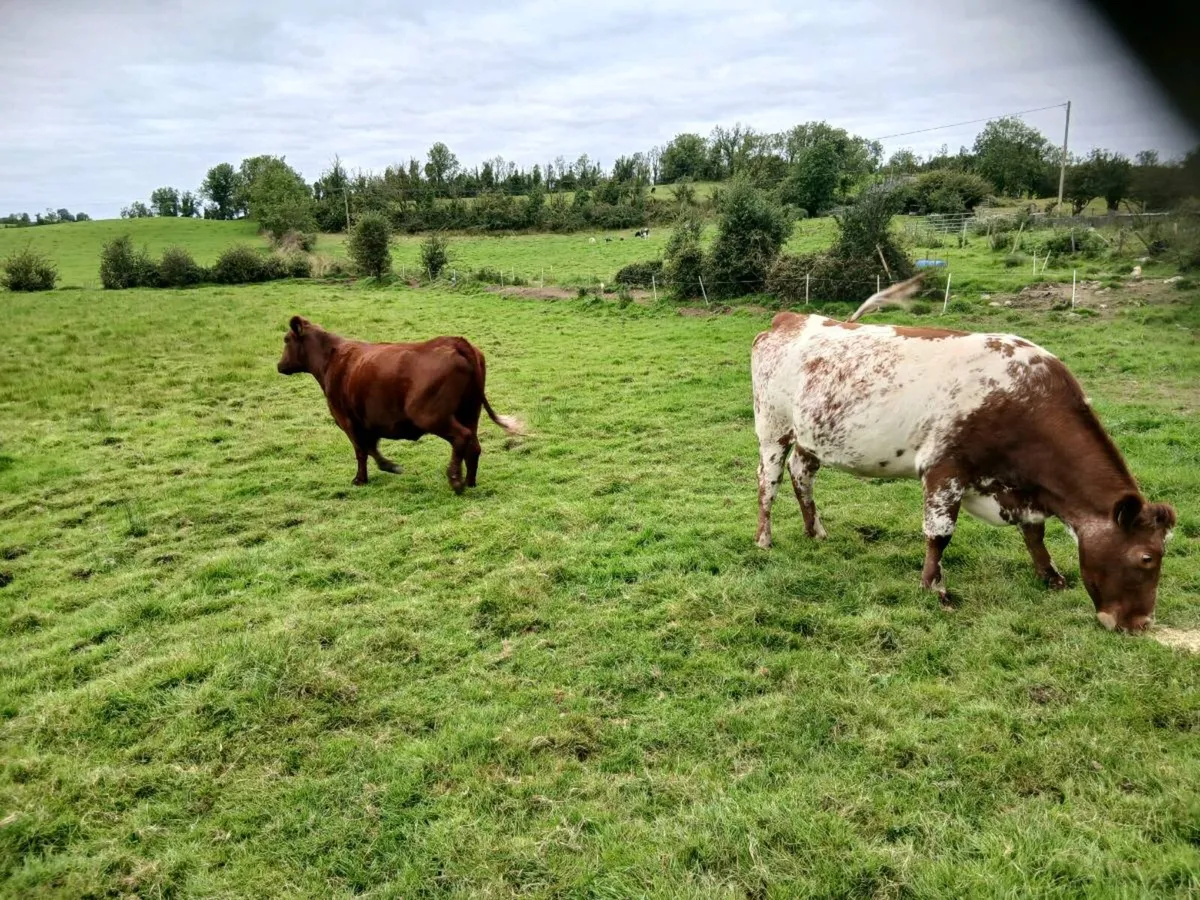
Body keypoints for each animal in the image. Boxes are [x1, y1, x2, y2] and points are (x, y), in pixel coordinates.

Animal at [277, 317, 524, 493]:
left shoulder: (347, 420)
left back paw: (455, 481)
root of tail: (456, 342)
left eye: (286, 340)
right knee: (473, 445)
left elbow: (362, 450)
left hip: (430, 415)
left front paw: (363, 478)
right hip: (470, 411)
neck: (332, 359)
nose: (279, 365)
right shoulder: (368, 421)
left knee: (461, 437)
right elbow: (370, 447)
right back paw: (469, 481)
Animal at [750, 274, 1175, 633]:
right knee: (768, 482)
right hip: (772, 428)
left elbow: (1034, 533)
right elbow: (939, 535)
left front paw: (1050, 575)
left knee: (801, 474)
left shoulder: (1019, 490)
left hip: (812, 436)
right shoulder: (945, 471)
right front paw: (935, 589)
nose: (1141, 624)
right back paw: (764, 539)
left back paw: (816, 531)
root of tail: (791, 318)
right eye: (1146, 558)